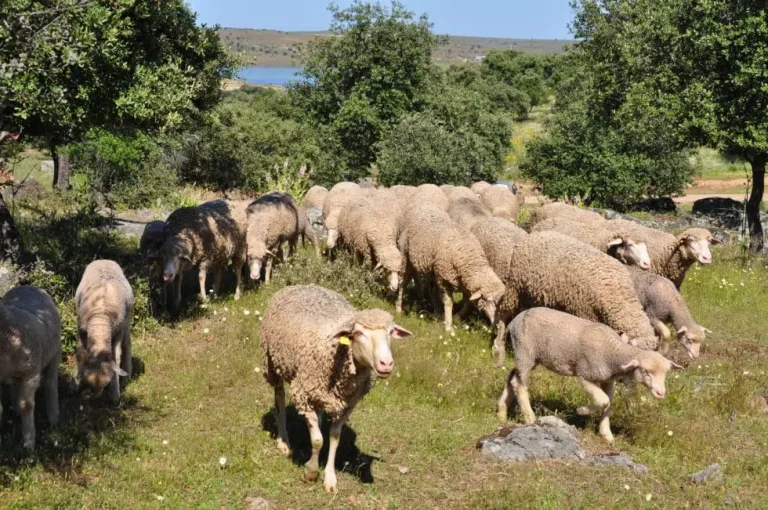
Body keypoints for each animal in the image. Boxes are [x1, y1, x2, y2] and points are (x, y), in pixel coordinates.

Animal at [0, 286, 60, 450]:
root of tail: (28, 286)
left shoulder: (30, 374)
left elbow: (26, 406)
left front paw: (28, 443)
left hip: (54, 353)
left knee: (51, 382)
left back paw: (53, 417)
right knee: (15, 385)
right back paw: (15, 410)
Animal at [75, 258, 134, 402]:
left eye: (105, 384)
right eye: (89, 384)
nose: (94, 397)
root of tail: (104, 259)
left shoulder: (117, 333)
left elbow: (116, 357)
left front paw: (115, 393)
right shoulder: (81, 330)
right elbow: (80, 354)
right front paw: (76, 384)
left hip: (127, 321)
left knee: (127, 344)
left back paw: (128, 375)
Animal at [260, 284, 412, 492]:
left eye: (390, 332)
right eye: (359, 333)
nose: (386, 363)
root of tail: (302, 285)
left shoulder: (347, 404)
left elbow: (334, 438)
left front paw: (330, 478)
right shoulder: (303, 394)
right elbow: (317, 440)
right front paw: (311, 472)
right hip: (273, 364)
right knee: (280, 402)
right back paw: (283, 440)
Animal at [498, 231, 660, 362]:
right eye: (630, 245)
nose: (647, 264)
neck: (617, 294)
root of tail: (535, 234)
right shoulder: (585, 312)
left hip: (533, 295)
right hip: (515, 287)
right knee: (503, 312)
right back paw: (498, 346)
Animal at [498, 306, 684, 442]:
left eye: (665, 373)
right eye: (646, 371)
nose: (660, 393)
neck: (612, 353)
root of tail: (513, 321)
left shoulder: (608, 380)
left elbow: (608, 404)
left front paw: (606, 434)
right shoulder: (585, 374)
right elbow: (603, 400)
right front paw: (581, 410)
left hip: (531, 357)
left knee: (512, 377)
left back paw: (501, 412)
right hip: (525, 351)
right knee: (520, 384)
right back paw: (529, 418)